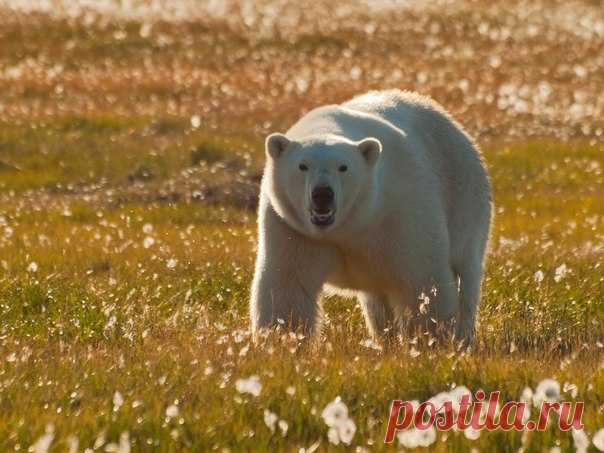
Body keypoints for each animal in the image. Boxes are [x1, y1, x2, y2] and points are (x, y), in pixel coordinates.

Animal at [250, 90, 490, 340]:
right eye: (302, 166)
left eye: (343, 167)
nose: (322, 194)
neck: (349, 225)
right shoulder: (292, 228)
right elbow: (288, 287)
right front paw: (282, 339)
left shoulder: (400, 212)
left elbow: (422, 280)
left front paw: (431, 337)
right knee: (377, 301)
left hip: (465, 198)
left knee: (467, 275)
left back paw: (463, 336)